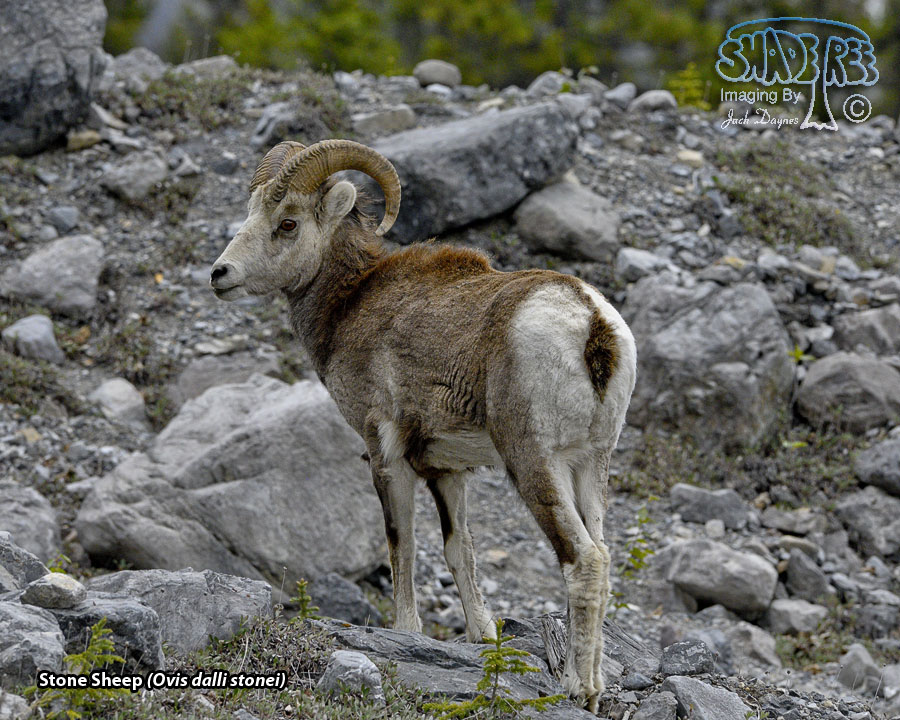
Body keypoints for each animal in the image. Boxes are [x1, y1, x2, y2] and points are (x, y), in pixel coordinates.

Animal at [210, 138, 636, 712]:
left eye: (288, 224)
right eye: (252, 212)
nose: (220, 275)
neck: (352, 303)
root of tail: (591, 326)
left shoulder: (385, 453)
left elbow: (403, 545)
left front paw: (406, 632)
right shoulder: (445, 470)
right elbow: (460, 552)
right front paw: (482, 638)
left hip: (535, 465)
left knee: (584, 559)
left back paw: (576, 687)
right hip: (590, 466)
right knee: (603, 555)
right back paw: (595, 689)